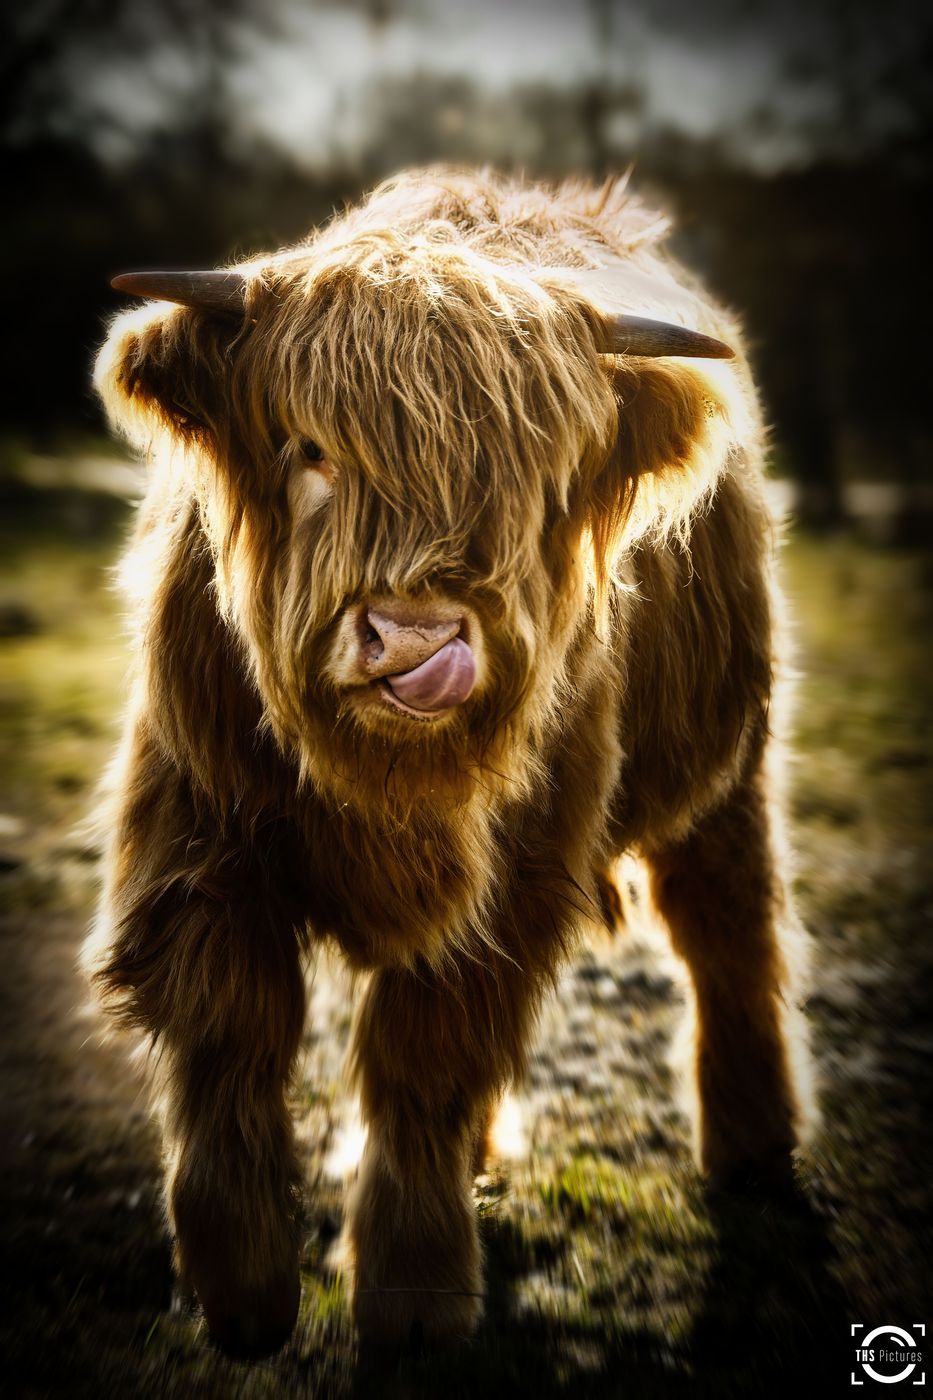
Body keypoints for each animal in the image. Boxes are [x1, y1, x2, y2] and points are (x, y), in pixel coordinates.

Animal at [84, 166, 813, 1359]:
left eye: (540, 475)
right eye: (309, 449)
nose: (418, 642)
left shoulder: (519, 871)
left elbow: (427, 1056)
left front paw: (415, 1294)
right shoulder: (198, 829)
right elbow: (228, 1029)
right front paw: (240, 1288)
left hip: (726, 761)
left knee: (727, 926)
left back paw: (754, 1145)